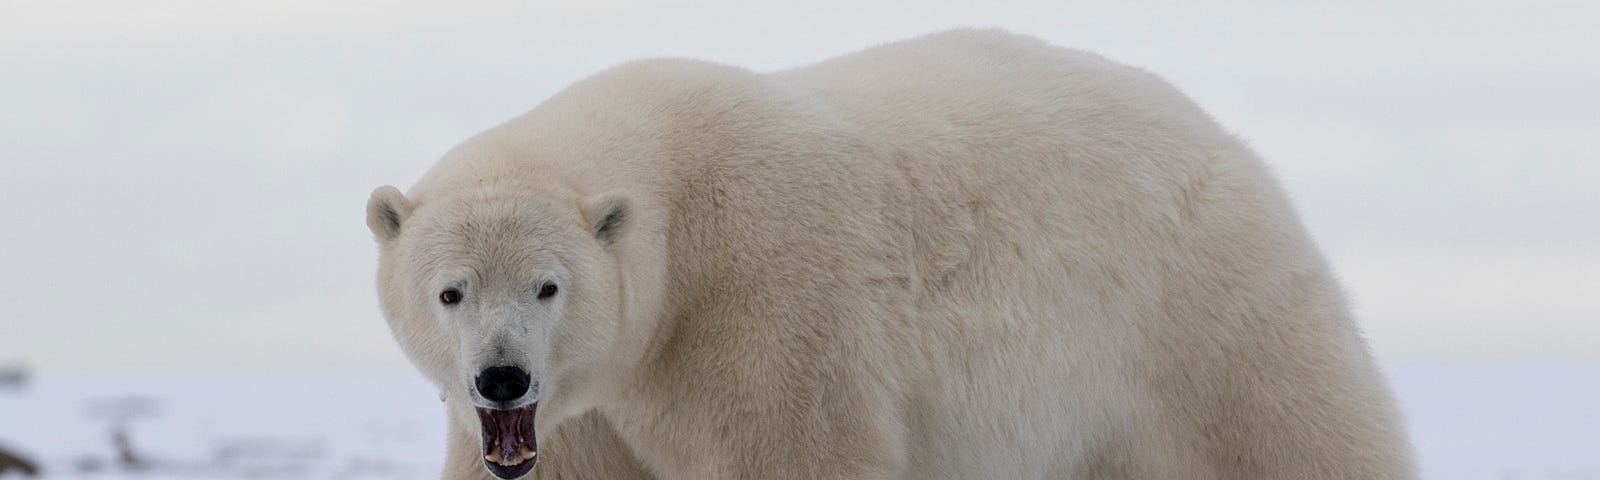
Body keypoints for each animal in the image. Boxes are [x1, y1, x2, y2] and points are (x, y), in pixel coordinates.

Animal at [363, 28, 1414, 476]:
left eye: (547, 286)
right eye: (451, 292)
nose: (501, 378)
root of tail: (1230, 147)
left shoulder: (766, 306)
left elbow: (798, 450)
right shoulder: (589, 405)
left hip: (1196, 315)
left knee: (1293, 435)